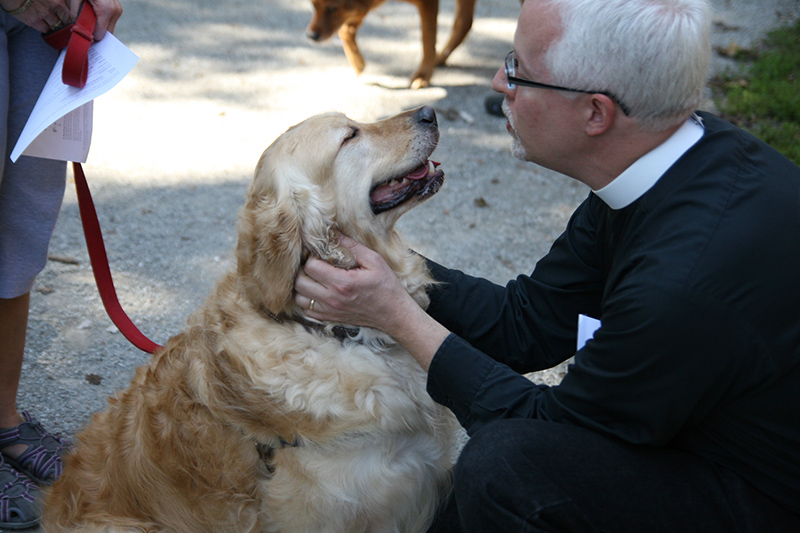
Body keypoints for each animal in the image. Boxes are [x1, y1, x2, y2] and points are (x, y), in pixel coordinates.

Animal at [306, 0, 478, 88]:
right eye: (313, 5)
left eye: (332, 8)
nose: (311, 36)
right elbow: (345, 30)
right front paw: (358, 64)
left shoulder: (428, 3)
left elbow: (427, 39)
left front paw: (423, 75)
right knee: (465, 22)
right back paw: (440, 58)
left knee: (463, 22)